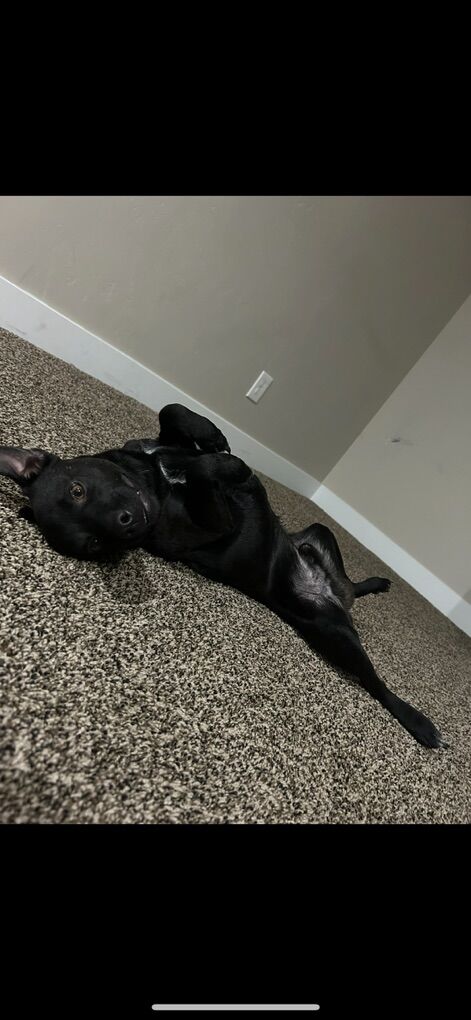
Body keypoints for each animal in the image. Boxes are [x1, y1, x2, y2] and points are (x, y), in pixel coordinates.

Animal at [0, 402, 446, 748]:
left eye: (77, 490)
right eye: (93, 545)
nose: (124, 526)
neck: (153, 480)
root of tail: (327, 593)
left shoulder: (159, 444)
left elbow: (172, 412)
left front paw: (213, 438)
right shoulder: (217, 521)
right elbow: (205, 472)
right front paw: (225, 460)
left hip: (320, 534)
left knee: (348, 582)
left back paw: (375, 583)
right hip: (334, 635)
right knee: (377, 685)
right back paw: (419, 723)